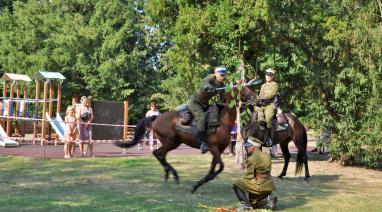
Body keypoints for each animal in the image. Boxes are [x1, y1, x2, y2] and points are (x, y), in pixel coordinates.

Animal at [113, 88, 251, 192]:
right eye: (242, 89)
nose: (254, 95)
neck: (222, 121)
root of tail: (156, 118)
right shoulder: (213, 148)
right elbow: (220, 166)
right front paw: (197, 185)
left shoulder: (219, 150)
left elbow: (214, 167)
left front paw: (199, 184)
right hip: (170, 142)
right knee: (158, 153)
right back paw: (173, 174)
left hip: (174, 143)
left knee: (160, 154)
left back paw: (168, 174)